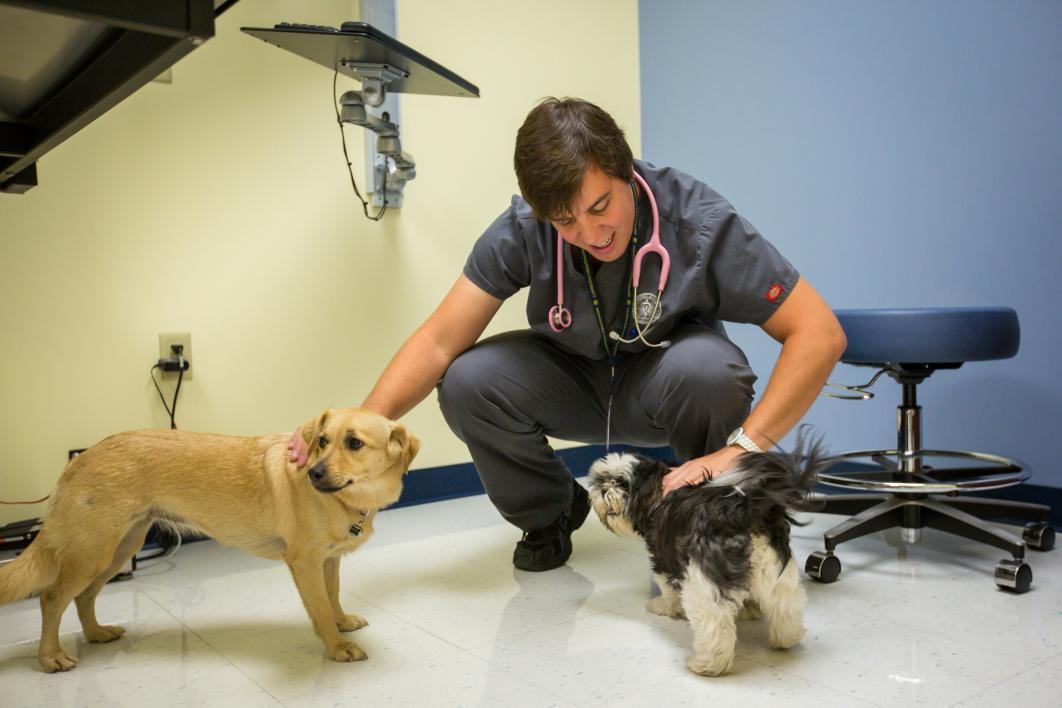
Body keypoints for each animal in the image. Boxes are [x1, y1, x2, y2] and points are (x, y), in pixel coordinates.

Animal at [0, 407, 420, 675]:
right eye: (322, 440)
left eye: (354, 443)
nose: (314, 473)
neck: (346, 499)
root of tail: (79, 459)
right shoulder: (304, 563)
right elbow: (319, 608)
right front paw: (336, 646)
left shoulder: (328, 561)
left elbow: (332, 597)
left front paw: (342, 622)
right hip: (92, 552)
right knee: (52, 598)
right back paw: (50, 657)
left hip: (118, 550)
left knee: (84, 597)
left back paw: (96, 634)